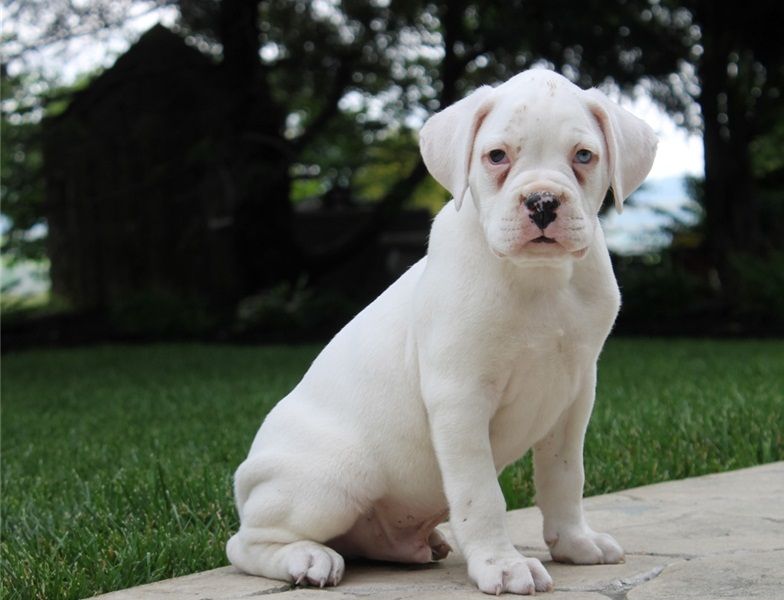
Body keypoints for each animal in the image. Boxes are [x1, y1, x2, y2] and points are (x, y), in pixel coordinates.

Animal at [226, 68, 657, 595]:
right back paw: (307, 559)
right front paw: (502, 565)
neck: (538, 279)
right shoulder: (461, 398)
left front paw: (575, 543)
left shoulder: (574, 395)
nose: (542, 201)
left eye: (583, 156)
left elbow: (564, 476)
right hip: (334, 480)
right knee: (246, 543)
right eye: (497, 156)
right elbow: (481, 494)